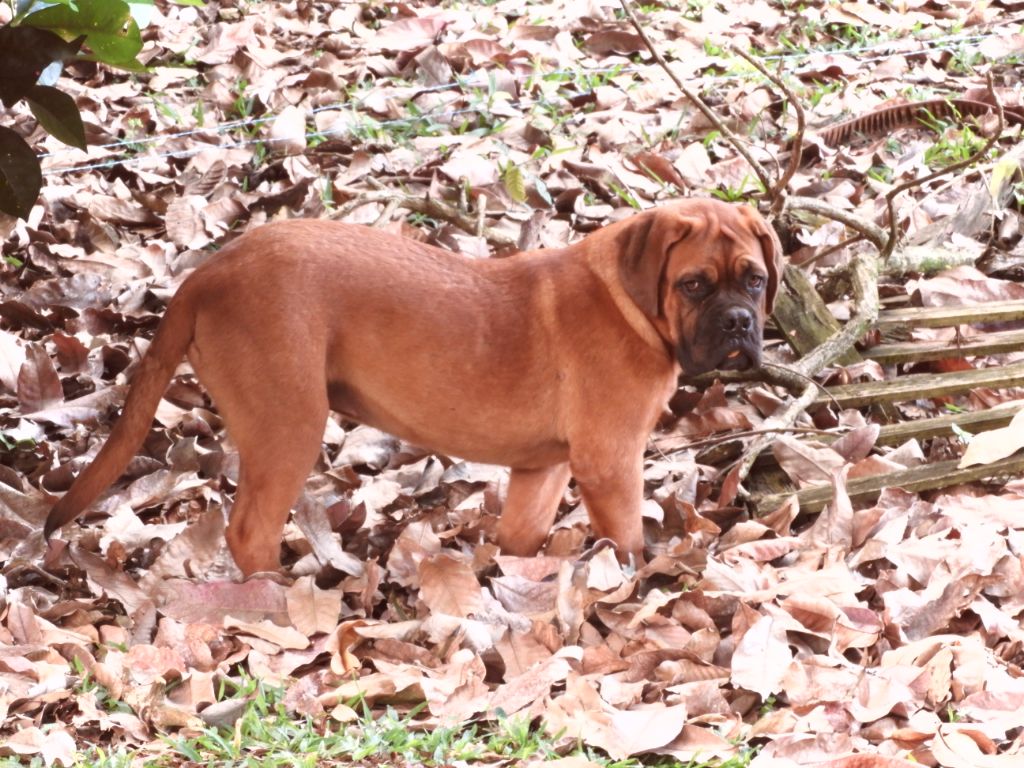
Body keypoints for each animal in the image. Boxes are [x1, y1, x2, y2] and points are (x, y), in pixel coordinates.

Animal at [44, 198, 783, 576]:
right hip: (290, 424)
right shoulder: (610, 461)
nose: (740, 325)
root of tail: (208, 274)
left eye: (754, 279)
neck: (631, 303)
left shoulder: (542, 470)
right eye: (693, 285)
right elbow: (628, 541)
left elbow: (519, 538)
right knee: (249, 530)